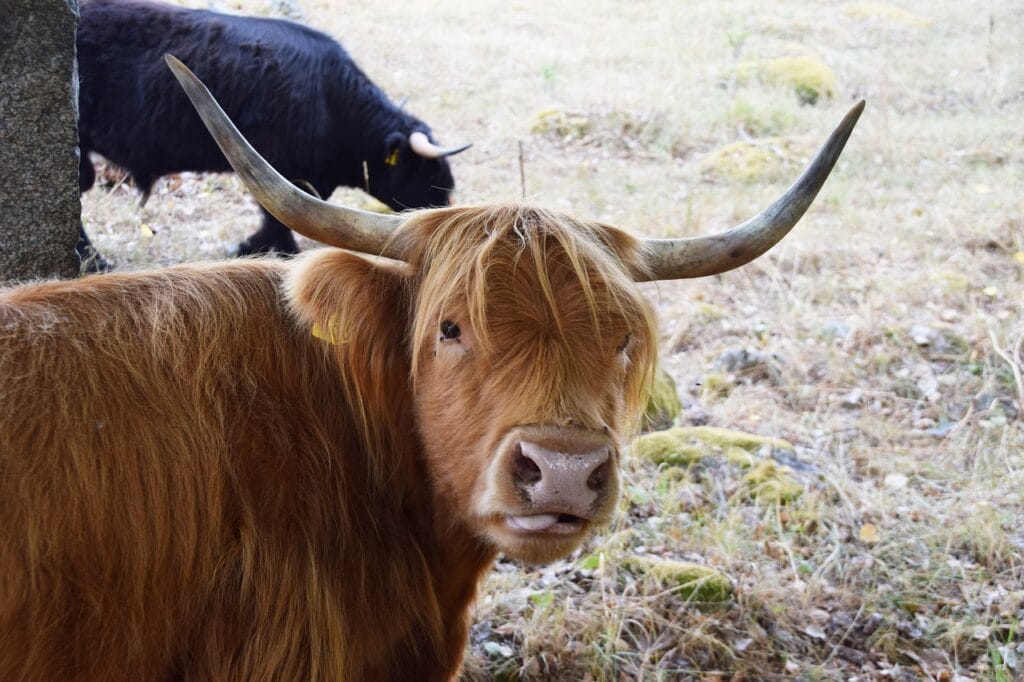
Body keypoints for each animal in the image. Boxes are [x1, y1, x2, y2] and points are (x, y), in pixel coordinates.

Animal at [76, 0, 469, 268]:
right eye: (428, 170)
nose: (448, 202)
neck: (330, 98)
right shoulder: (283, 167)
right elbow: (275, 218)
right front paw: (262, 249)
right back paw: (93, 259)